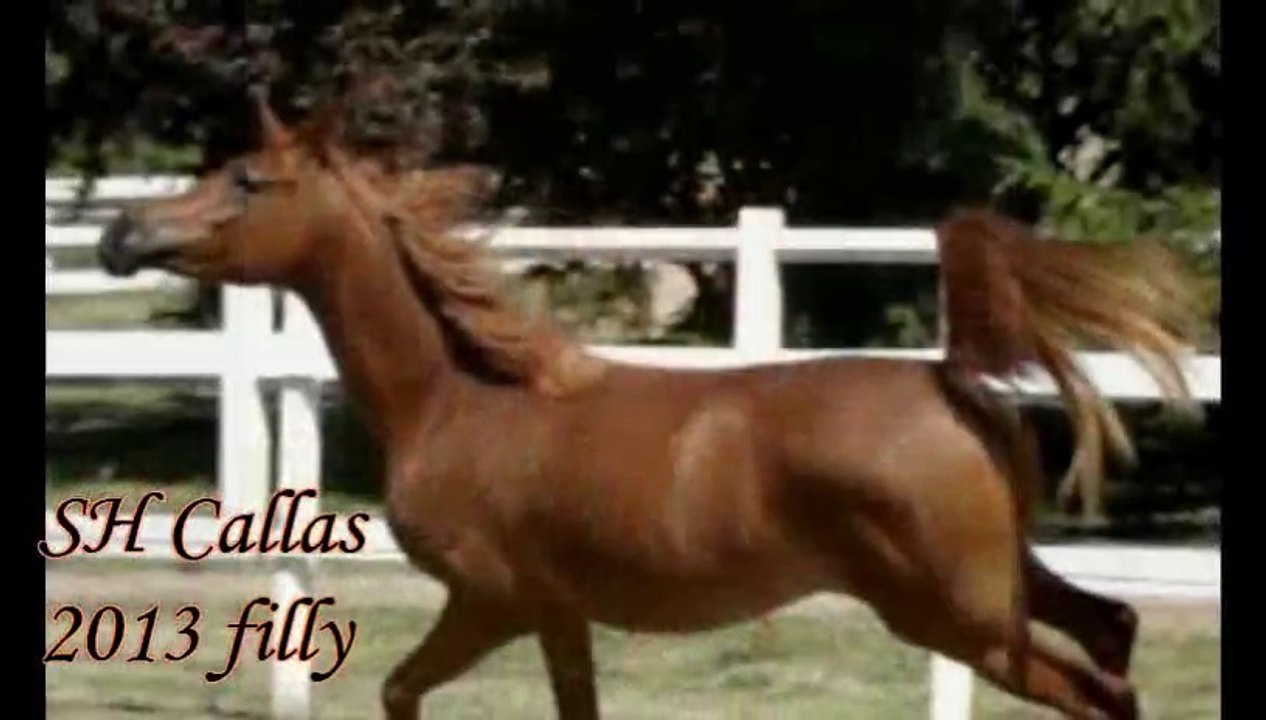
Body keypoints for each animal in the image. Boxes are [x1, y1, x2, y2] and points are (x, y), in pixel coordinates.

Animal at [96, 92, 1206, 720]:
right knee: (1113, 635)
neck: (457, 401)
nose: (118, 234)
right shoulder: (555, 613)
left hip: (955, 615)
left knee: (1095, 688)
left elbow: (404, 690)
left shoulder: (495, 600)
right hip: (1001, 583)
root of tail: (952, 379)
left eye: (250, 180)